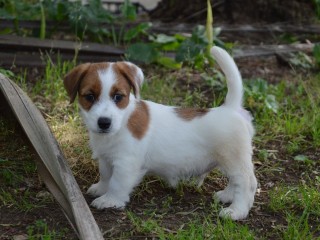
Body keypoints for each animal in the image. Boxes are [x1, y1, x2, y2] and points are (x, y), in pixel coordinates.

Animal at [64, 46, 258, 220]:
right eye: (89, 97)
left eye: (118, 97)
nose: (104, 123)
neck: (124, 119)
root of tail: (231, 108)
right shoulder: (106, 158)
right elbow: (105, 176)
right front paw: (100, 189)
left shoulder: (126, 163)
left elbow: (117, 183)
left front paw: (110, 200)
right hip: (229, 161)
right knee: (235, 181)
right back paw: (227, 195)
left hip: (234, 159)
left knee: (247, 183)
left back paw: (236, 211)